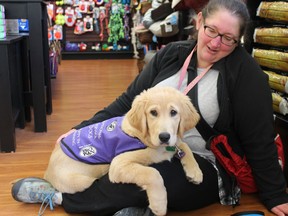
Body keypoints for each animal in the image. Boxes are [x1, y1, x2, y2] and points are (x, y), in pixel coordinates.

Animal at [44, 86, 202, 216]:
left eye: (173, 112)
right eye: (153, 112)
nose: (164, 137)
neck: (144, 137)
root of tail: (47, 172)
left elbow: (184, 146)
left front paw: (195, 172)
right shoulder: (118, 164)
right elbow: (153, 173)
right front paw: (159, 205)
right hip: (81, 181)